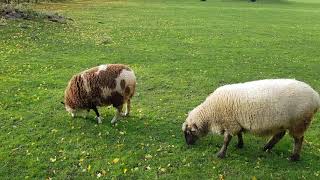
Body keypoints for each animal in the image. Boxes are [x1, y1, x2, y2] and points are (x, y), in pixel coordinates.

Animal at [182, 79, 320, 160]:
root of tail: (315, 96)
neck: (210, 113)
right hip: (283, 122)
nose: (188, 144)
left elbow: (226, 140)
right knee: (279, 135)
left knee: (298, 139)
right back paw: (266, 148)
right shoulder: (236, 122)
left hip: (299, 122)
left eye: (188, 132)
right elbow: (239, 133)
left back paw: (294, 157)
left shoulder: (230, 122)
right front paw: (240, 145)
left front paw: (221, 154)